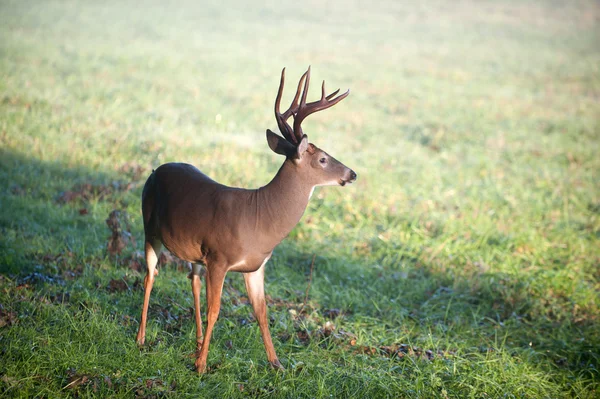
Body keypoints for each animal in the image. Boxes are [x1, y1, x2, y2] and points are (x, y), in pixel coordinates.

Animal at [136, 66, 356, 376]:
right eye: (323, 159)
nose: (352, 174)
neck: (261, 219)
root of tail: (156, 169)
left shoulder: (256, 266)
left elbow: (262, 313)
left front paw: (277, 364)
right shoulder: (219, 258)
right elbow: (216, 310)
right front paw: (202, 366)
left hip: (194, 250)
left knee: (192, 280)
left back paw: (197, 342)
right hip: (150, 229)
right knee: (150, 275)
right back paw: (142, 339)